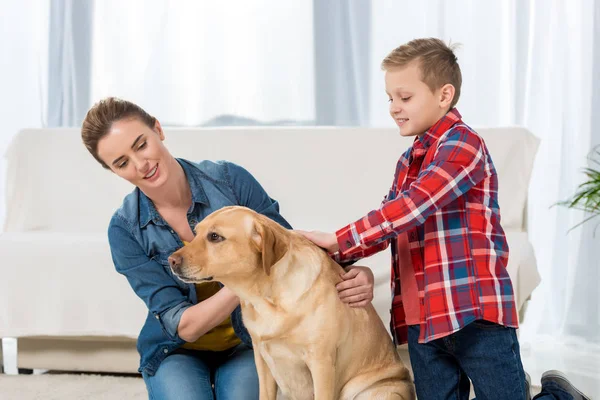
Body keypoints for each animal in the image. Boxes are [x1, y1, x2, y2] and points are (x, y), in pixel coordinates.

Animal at [169, 206, 412, 400]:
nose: (171, 260)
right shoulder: (262, 359)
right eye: (196, 233)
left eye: (215, 237)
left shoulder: (321, 362)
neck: (266, 296)